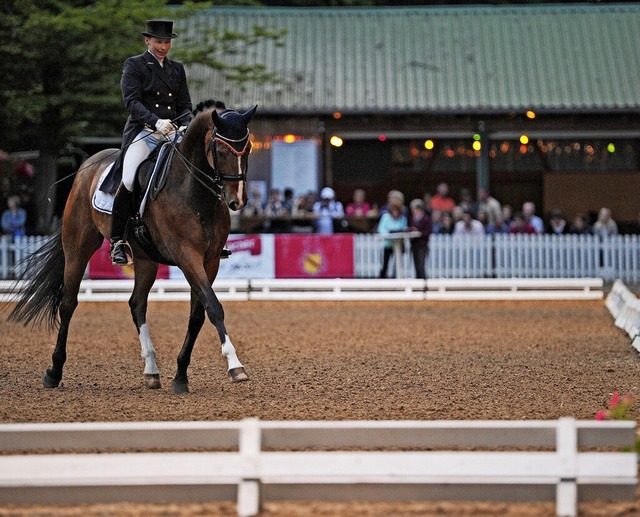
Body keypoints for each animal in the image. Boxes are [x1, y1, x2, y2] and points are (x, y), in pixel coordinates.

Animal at [8, 107, 256, 394]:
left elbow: (198, 314)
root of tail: (86, 166)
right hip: (78, 248)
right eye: (222, 149)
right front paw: (235, 365)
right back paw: (53, 372)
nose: (237, 201)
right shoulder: (186, 255)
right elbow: (214, 307)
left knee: (137, 303)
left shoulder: (211, 260)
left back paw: (151, 370)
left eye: (248, 148)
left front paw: (180, 376)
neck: (193, 191)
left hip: (145, 258)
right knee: (68, 304)